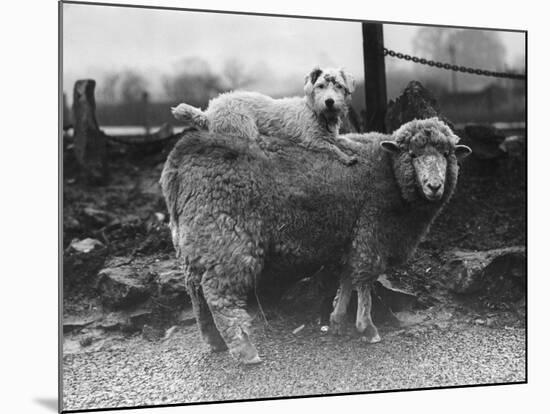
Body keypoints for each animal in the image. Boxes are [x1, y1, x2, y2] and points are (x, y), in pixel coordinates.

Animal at [161, 115, 474, 362]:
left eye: (447, 155)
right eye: (412, 155)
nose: (434, 186)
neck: (391, 175)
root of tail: (181, 158)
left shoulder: (351, 235)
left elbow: (347, 277)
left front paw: (337, 320)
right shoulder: (370, 232)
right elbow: (364, 281)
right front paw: (367, 328)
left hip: (196, 240)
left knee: (195, 290)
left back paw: (213, 341)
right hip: (226, 238)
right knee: (217, 295)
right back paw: (245, 350)